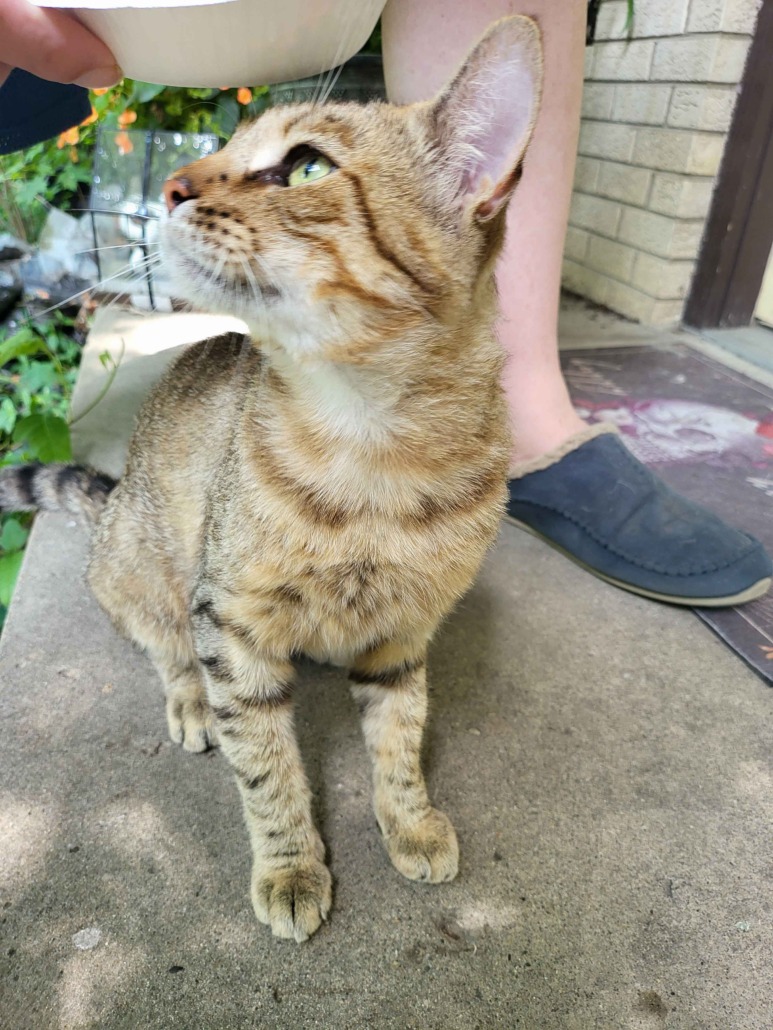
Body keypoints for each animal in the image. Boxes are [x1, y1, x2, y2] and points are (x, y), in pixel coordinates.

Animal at [0, 17, 542, 943]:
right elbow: (265, 765)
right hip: (142, 572)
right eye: (225, 146)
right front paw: (290, 866)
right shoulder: (230, 619)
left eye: (307, 167)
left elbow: (400, 736)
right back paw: (188, 702)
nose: (171, 188)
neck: (373, 452)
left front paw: (409, 820)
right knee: (164, 645)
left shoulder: (406, 633)